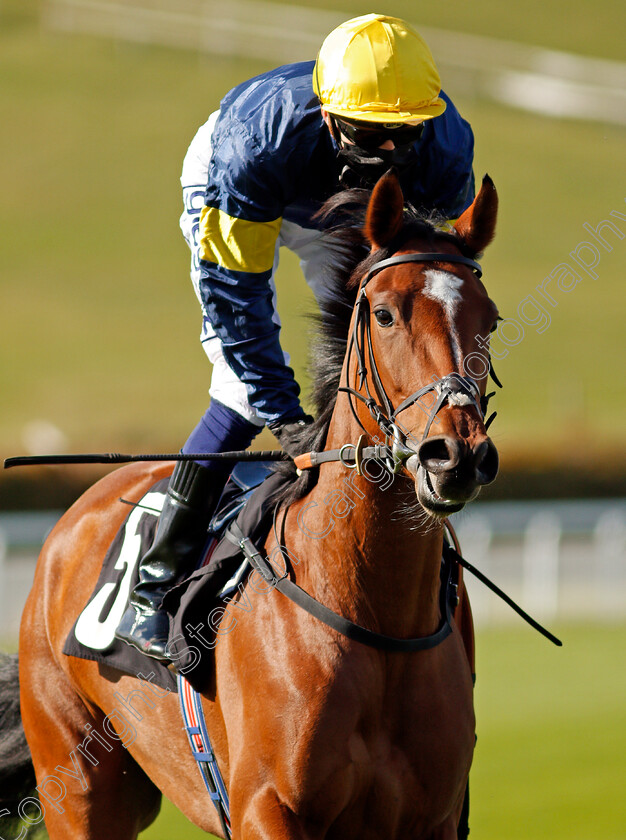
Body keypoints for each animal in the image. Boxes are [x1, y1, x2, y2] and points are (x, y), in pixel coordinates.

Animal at [4, 171, 498, 840]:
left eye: (490, 320)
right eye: (386, 314)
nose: (456, 455)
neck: (379, 620)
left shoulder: (433, 817)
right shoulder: (268, 807)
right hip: (77, 786)